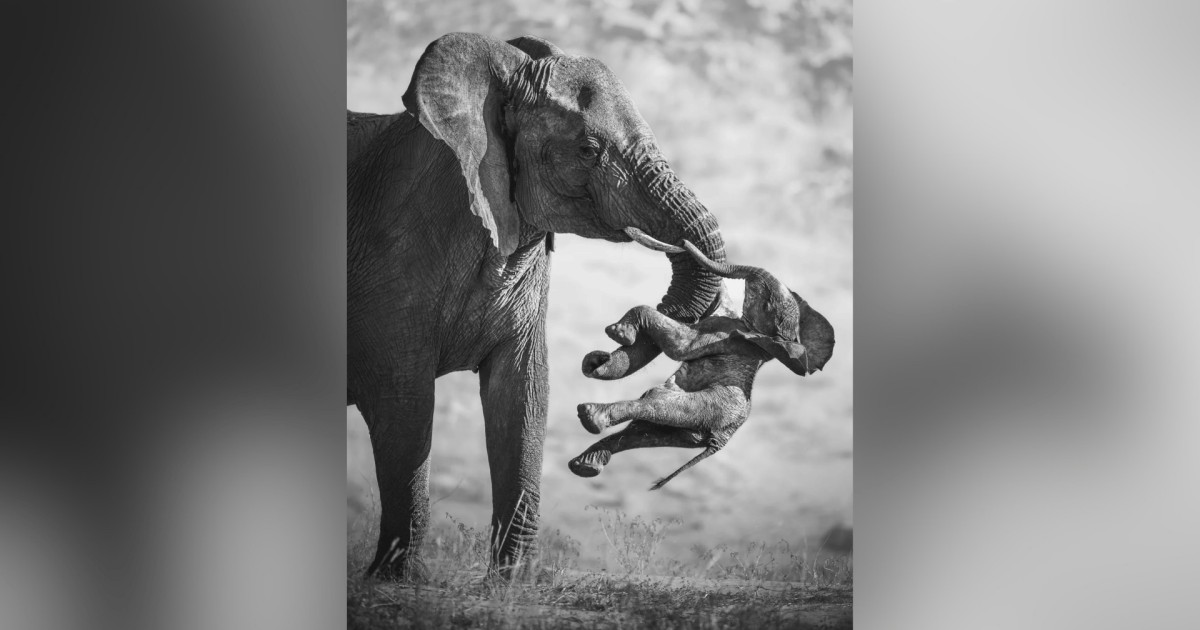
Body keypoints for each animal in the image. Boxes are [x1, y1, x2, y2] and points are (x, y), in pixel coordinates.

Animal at [347, 33, 730, 580]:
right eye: (588, 150)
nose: (604, 348)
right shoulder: (392, 262)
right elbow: (405, 404)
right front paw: (396, 582)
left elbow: (523, 394)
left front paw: (512, 584)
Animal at [570, 229, 835, 488]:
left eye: (767, 304)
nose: (682, 241)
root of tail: (720, 441)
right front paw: (597, 360)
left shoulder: (723, 334)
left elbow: (679, 346)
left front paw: (618, 333)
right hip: (691, 430)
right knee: (643, 432)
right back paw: (585, 464)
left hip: (709, 408)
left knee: (656, 403)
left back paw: (590, 417)